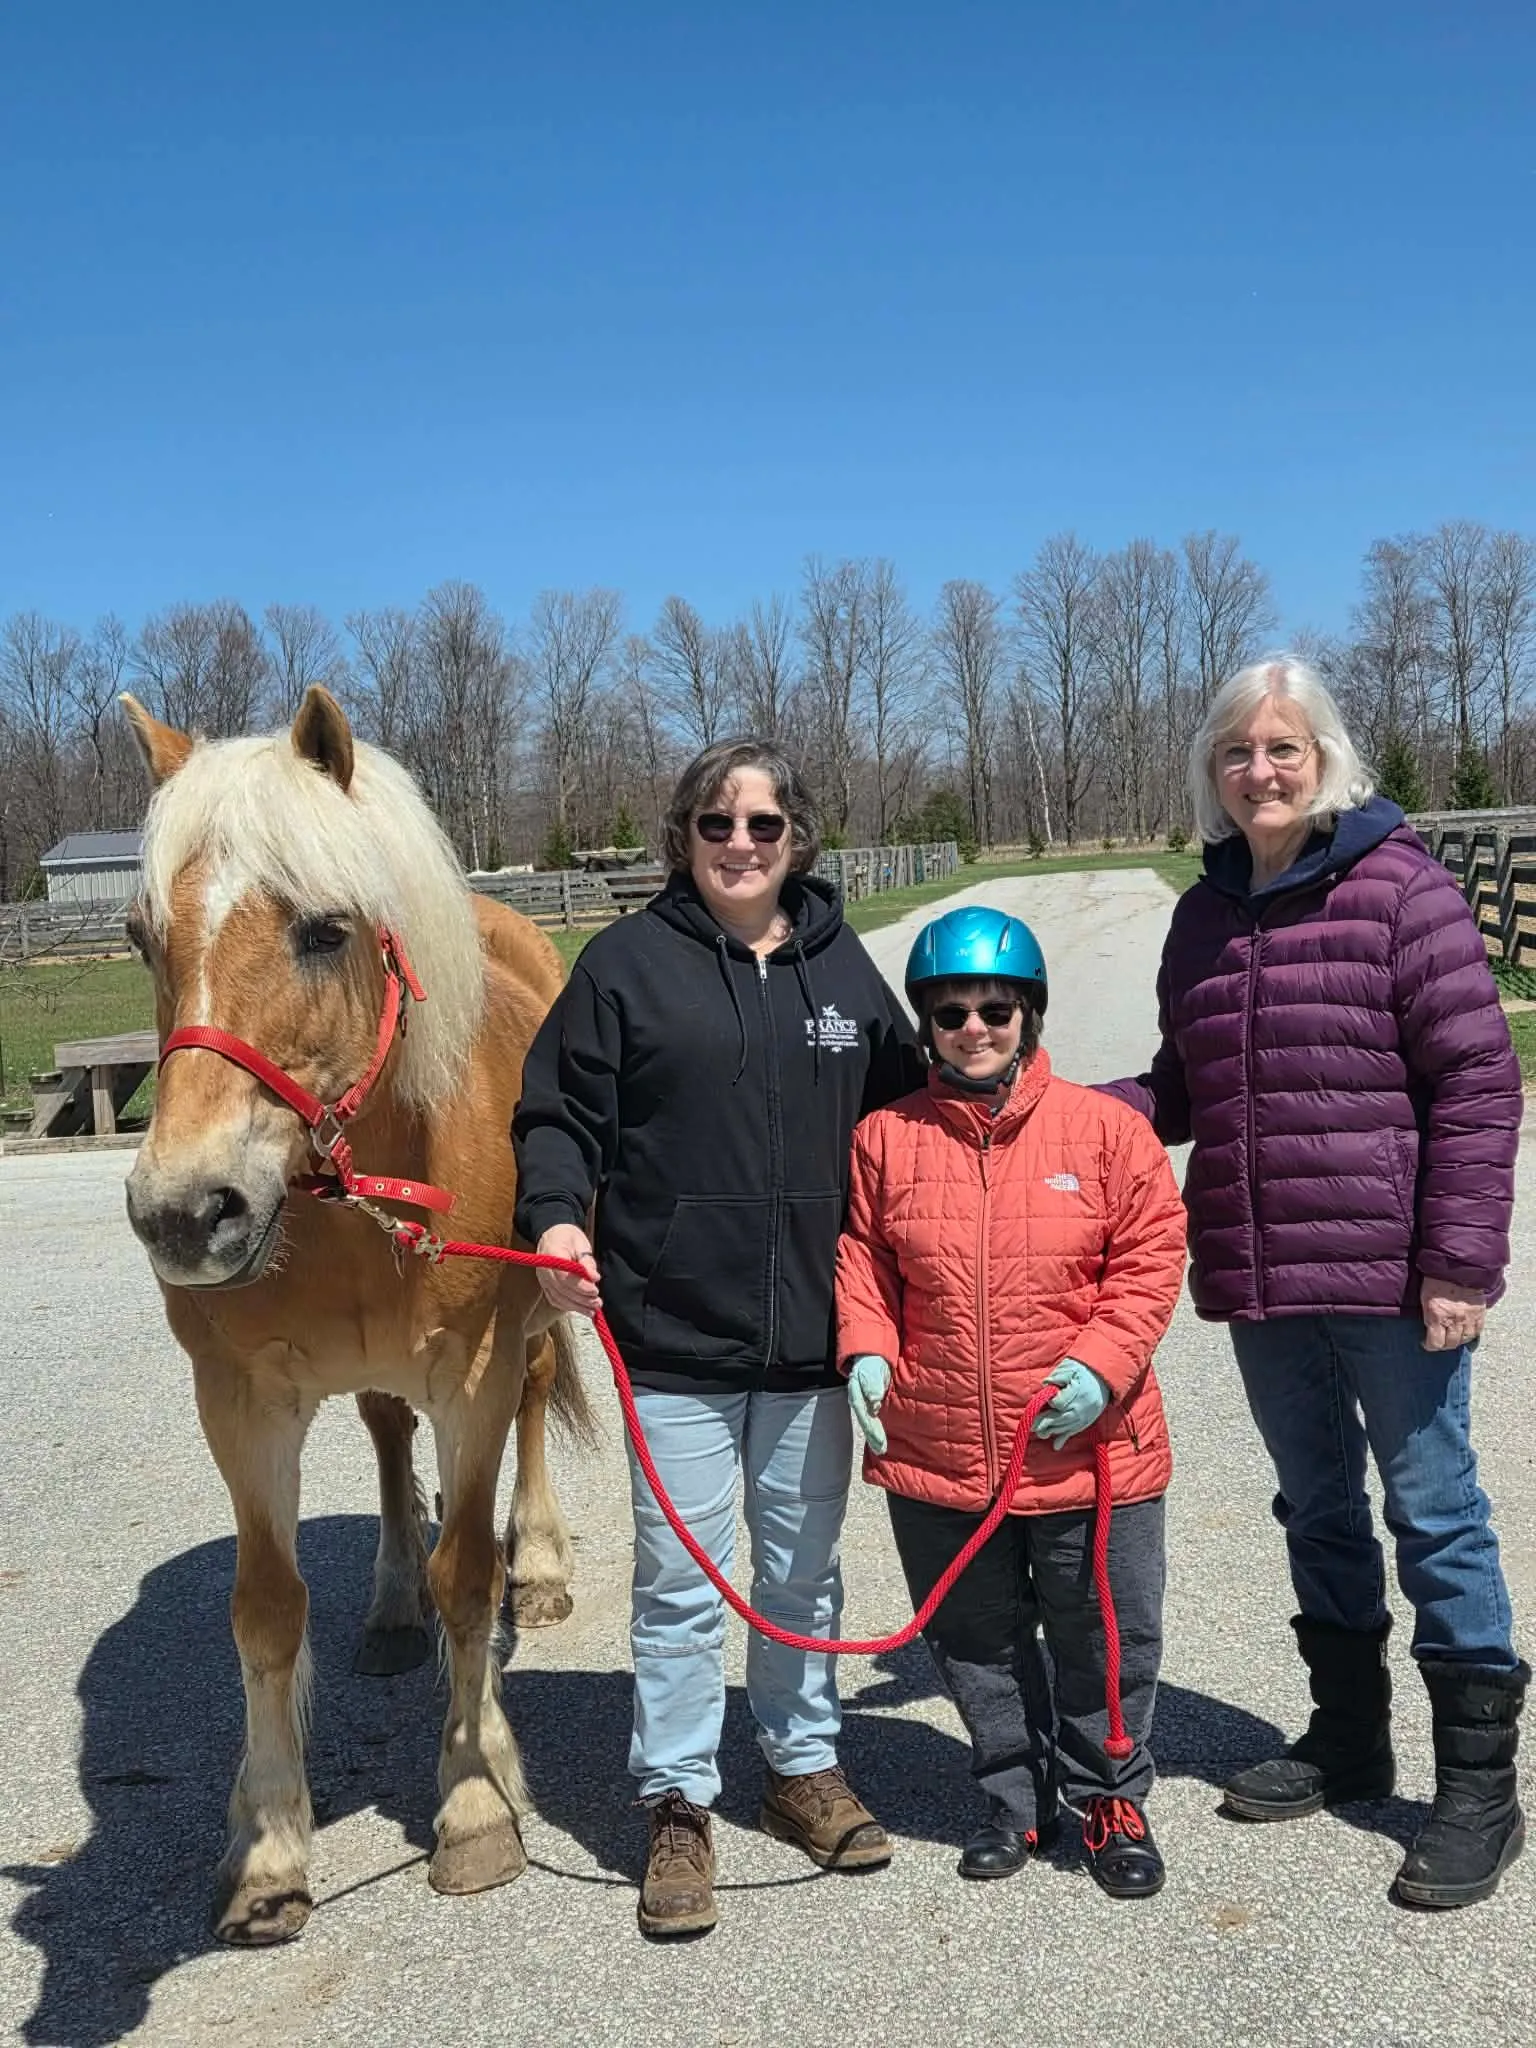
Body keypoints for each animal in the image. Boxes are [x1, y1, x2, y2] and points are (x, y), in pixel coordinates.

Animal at [118, 684, 593, 1944]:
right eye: (139, 937)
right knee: (384, 1439)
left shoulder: (476, 1374)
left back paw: (541, 1562)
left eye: (324, 929)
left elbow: (467, 1575)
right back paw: (387, 1603)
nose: (187, 1210)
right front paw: (272, 1841)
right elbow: (266, 1609)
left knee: (534, 1416)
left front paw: (475, 1796)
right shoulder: (239, 1402)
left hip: (527, 1338)